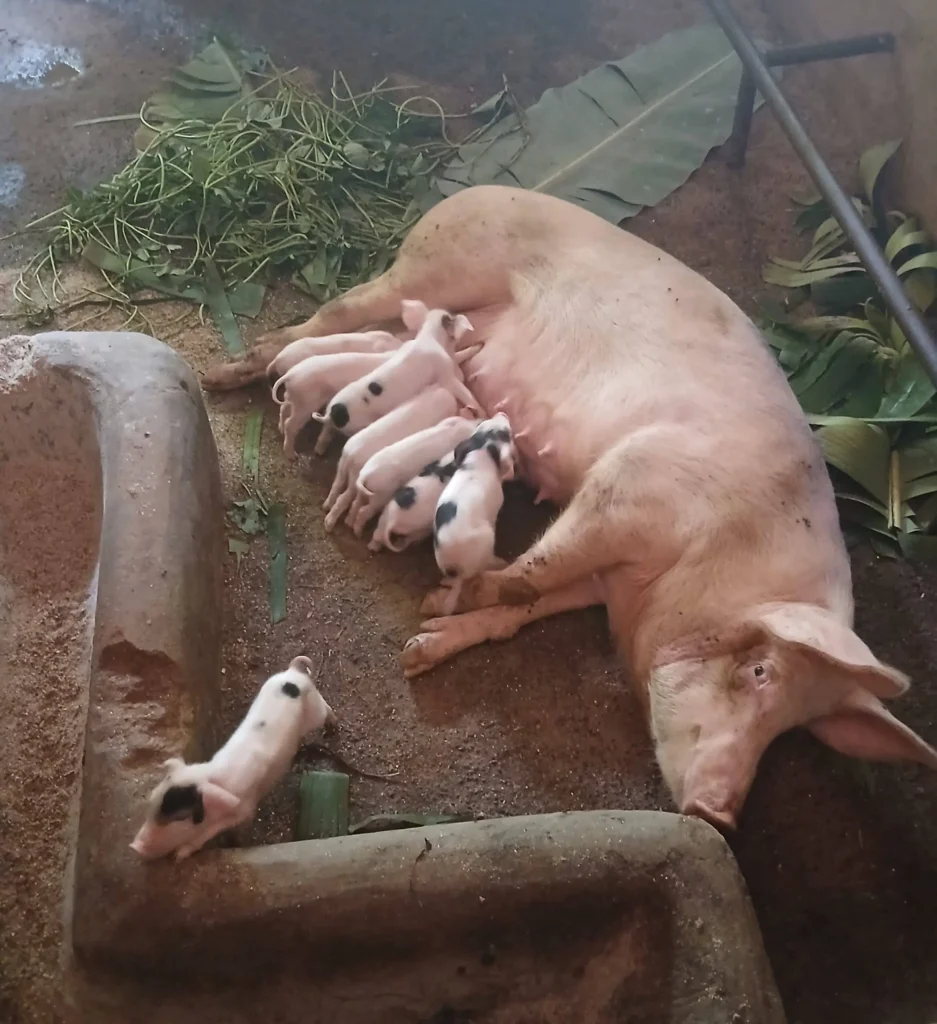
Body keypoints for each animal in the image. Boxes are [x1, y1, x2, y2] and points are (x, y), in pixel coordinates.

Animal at [130, 656, 334, 861]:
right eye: (151, 804)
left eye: (179, 818)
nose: (134, 847)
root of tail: (293, 673)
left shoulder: (244, 809)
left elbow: (212, 832)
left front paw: (180, 855)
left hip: (315, 711)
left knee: (326, 709)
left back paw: (331, 729)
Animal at [313, 301, 480, 437]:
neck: (430, 336)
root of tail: (330, 415)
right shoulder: (443, 370)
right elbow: (462, 390)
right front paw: (480, 412)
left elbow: (459, 356)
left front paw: (478, 346)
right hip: (357, 423)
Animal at [323, 386, 461, 533]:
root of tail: (351, 455)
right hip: (361, 480)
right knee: (346, 498)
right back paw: (332, 524)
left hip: (342, 464)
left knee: (337, 485)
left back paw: (328, 508)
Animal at [346, 416, 479, 537]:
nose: (479, 421)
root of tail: (365, 475)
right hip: (380, 495)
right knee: (364, 510)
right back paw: (358, 533)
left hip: (365, 492)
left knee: (356, 503)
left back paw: (349, 524)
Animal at [432, 413, 517, 614]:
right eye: (506, 434)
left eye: (483, 424)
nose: (502, 413)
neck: (481, 453)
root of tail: (458, 570)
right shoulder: (497, 502)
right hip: (488, 539)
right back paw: (502, 562)